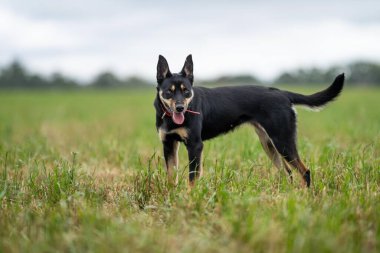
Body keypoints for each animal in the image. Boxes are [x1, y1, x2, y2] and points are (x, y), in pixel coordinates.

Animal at [154, 54, 344, 187]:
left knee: (304, 172)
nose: (180, 108)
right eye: (169, 92)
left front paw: (190, 199)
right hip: (269, 143)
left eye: (186, 91)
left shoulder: (195, 145)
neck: (171, 118)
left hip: (283, 141)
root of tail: (282, 93)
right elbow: (171, 176)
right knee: (287, 173)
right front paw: (172, 199)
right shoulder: (168, 144)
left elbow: (192, 178)